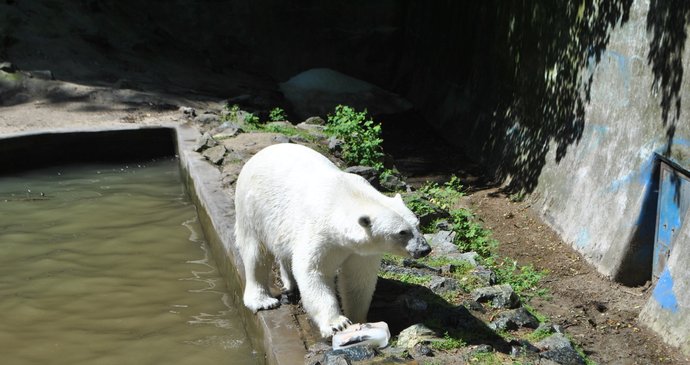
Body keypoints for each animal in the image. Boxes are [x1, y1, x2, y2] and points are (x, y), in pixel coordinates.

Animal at [236, 141, 430, 336]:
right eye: (402, 232)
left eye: (417, 224)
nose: (424, 249)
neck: (345, 196)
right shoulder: (320, 232)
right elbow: (313, 271)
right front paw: (337, 323)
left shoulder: (362, 251)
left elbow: (358, 278)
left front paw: (361, 320)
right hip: (253, 208)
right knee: (255, 253)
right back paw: (263, 301)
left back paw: (290, 284)